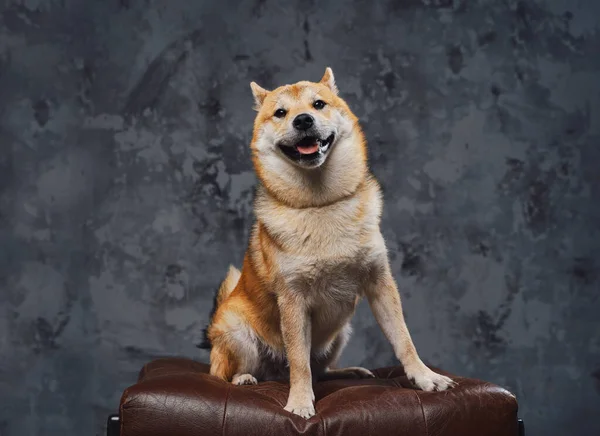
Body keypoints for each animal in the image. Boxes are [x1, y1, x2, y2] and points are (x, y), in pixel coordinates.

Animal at [200, 68, 454, 418]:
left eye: (318, 104)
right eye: (280, 113)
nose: (303, 120)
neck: (320, 203)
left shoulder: (380, 283)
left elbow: (403, 338)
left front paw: (425, 377)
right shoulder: (293, 301)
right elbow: (298, 361)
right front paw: (299, 401)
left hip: (340, 332)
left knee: (320, 369)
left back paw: (346, 371)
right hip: (236, 332)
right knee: (227, 372)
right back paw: (245, 378)